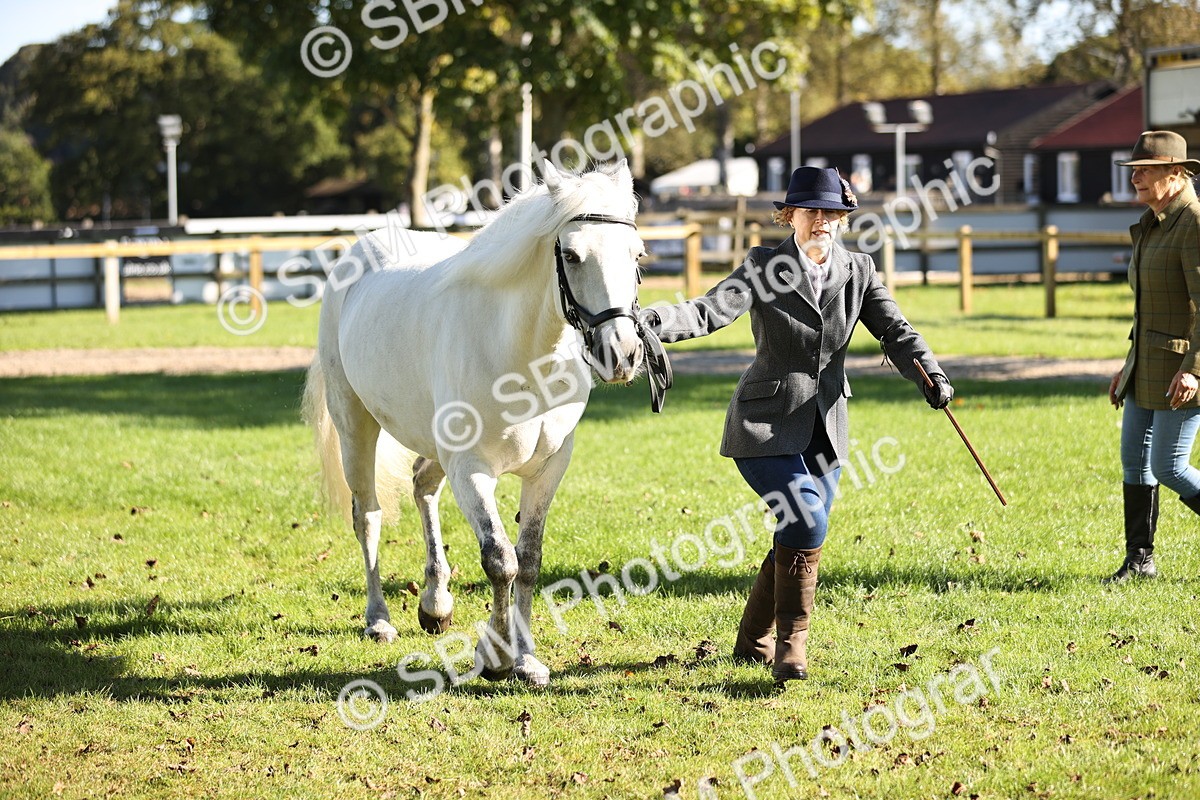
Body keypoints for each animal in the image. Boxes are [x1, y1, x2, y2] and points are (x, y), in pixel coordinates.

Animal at [302, 160, 647, 687]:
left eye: (637, 253)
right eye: (571, 254)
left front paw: (525, 659)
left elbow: (528, 560)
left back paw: (435, 605)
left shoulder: (547, 470)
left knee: (423, 486)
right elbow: (500, 559)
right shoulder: (471, 469)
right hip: (355, 426)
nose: (622, 355)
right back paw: (379, 620)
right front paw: (497, 656)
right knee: (369, 516)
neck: (521, 356)